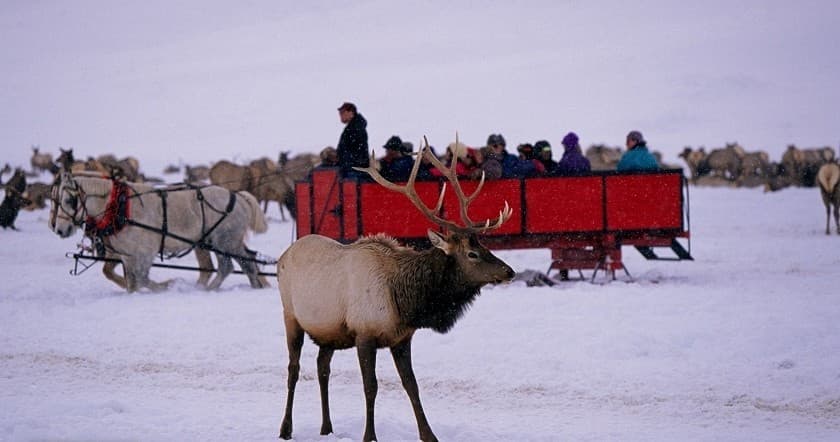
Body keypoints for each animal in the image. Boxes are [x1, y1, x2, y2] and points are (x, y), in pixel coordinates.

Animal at [49, 171, 269, 292]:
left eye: (69, 200)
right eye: (55, 200)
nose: (59, 229)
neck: (119, 206)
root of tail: (239, 197)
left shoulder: (146, 252)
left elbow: (142, 279)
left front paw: (168, 285)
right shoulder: (127, 255)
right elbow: (130, 282)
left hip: (224, 241)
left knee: (233, 266)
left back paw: (208, 290)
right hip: (215, 242)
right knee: (244, 262)